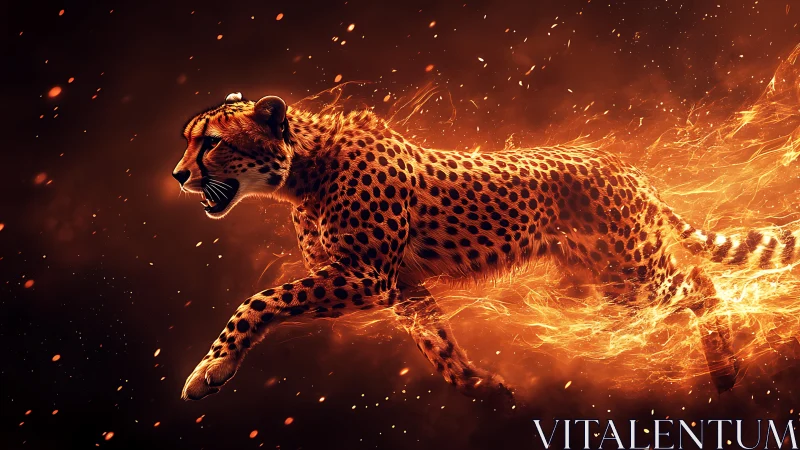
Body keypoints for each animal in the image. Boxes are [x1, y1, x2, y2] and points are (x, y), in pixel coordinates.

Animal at [173, 92, 800, 409]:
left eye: (212, 142)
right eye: (189, 140)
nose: (179, 175)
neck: (303, 168)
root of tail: (623, 163)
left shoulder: (366, 276)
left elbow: (259, 301)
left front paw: (210, 369)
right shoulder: (403, 287)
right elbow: (436, 343)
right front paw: (481, 385)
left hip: (634, 270)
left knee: (700, 281)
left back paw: (726, 372)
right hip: (615, 281)